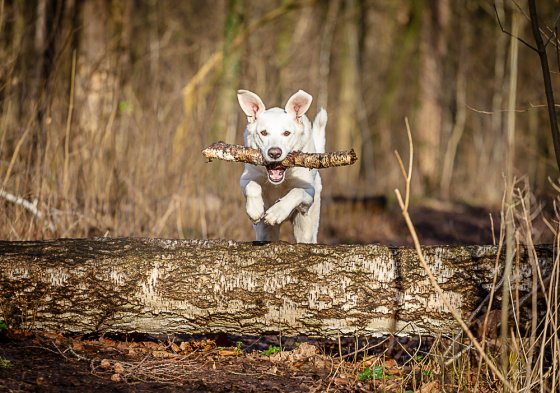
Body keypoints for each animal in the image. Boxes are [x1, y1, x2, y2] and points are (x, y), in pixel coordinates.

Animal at [237, 89, 328, 242]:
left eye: (286, 133)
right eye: (263, 132)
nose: (274, 153)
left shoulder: (309, 193)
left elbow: (297, 191)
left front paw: (277, 212)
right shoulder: (245, 178)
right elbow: (252, 185)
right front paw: (255, 209)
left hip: (306, 228)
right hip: (265, 232)